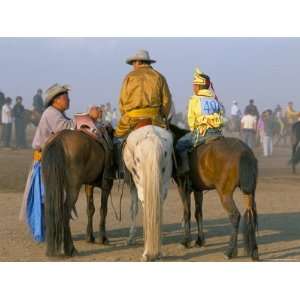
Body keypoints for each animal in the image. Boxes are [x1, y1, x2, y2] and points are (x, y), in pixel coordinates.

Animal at [122, 124, 173, 260]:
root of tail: (152, 137)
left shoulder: (132, 185)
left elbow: (133, 209)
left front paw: (131, 237)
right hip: (164, 177)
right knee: (159, 201)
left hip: (138, 179)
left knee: (144, 201)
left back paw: (148, 252)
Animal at [170, 123, 258, 260]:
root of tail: (245, 152)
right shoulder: (198, 189)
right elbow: (198, 213)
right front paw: (200, 240)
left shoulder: (182, 187)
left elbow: (187, 212)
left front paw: (186, 241)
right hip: (249, 193)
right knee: (251, 213)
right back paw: (253, 252)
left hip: (225, 194)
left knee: (235, 216)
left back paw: (230, 251)